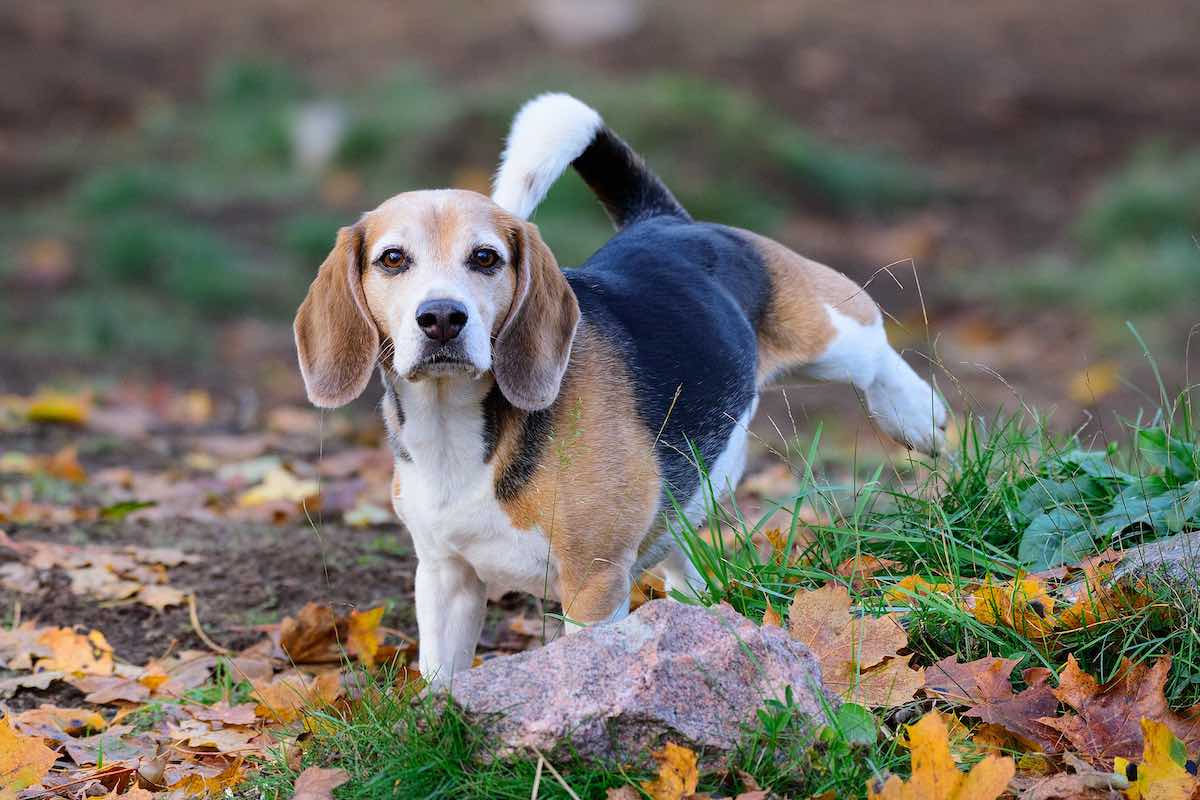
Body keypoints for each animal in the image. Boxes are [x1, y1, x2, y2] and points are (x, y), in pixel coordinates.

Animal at [292, 92, 945, 681]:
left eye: (485, 258)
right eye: (392, 259)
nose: (442, 317)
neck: (458, 427)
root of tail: (665, 223)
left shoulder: (594, 581)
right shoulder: (445, 576)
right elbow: (442, 677)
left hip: (828, 333)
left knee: (873, 346)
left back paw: (917, 415)